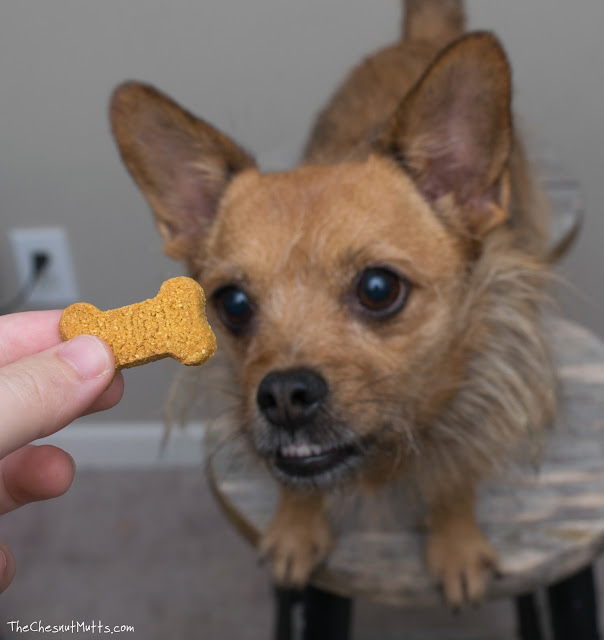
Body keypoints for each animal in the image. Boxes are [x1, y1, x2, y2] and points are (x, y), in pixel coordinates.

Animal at [109, 0, 556, 608]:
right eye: (232, 303)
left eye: (378, 289)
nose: (283, 395)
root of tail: (421, 37)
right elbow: (293, 479)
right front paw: (297, 527)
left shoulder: (473, 396)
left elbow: (455, 472)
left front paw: (456, 541)